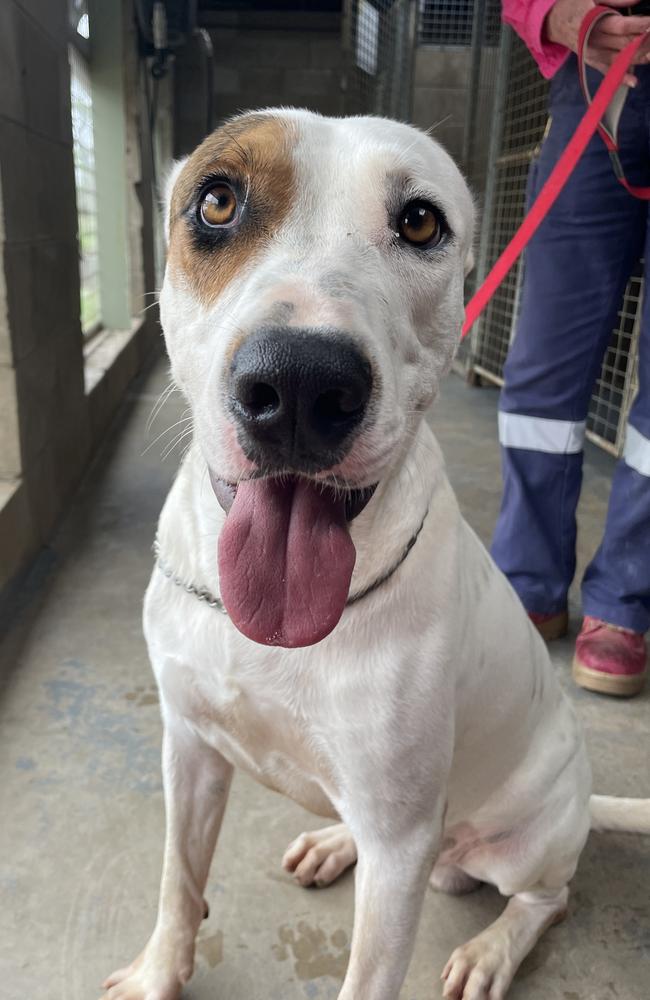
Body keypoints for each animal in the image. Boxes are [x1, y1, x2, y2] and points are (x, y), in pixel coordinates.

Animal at [98, 109, 644, 1000]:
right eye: (216, 201)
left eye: (420, 222)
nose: (299, 386)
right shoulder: (190, 746)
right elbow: (179, 877)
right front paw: (157, 975)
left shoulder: (398, 844)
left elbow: (369, 978)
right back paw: (334, 844)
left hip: (514, 839)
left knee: (548, 899)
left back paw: (492, 951)